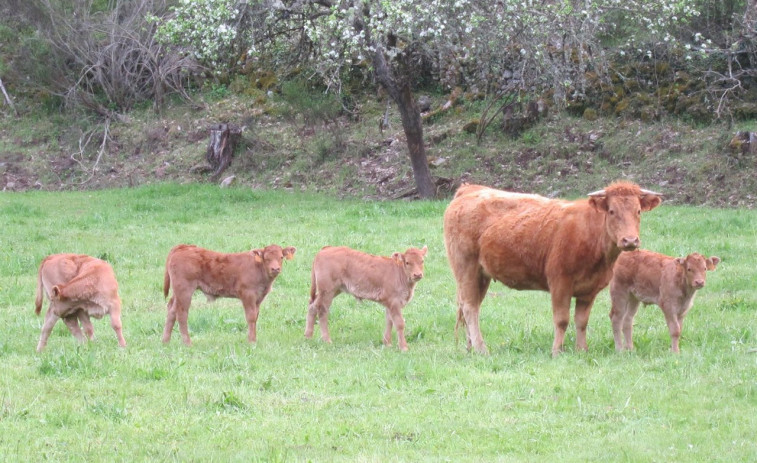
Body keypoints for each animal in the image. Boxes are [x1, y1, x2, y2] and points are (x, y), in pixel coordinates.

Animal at [162, 245, 296, 346]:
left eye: (281, 257)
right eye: (266, 258)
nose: (275, 269)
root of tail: (183, 247)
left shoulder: (258, 298)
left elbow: (256, 317)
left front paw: (253, 339)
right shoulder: (247, 294)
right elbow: (251, 317)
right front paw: (251, 342)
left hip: (178, 292)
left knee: (172, 310)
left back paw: (165, 341)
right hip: (185, 289)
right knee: (182, 314)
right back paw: (187, 343)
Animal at [446, 183, 660, 358]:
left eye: (638, 211)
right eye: (612, 211)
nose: (630, 240)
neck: (590, 234)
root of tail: (469, 189)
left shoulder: (589, 290)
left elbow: (581, 321)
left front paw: (582, 350)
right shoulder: (560, 282)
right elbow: (562, 320)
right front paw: (557, 351)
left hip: (481, 275)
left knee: (469, 306)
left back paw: (470, 347)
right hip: (466, 267)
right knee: (470, 307)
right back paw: (481, 349)